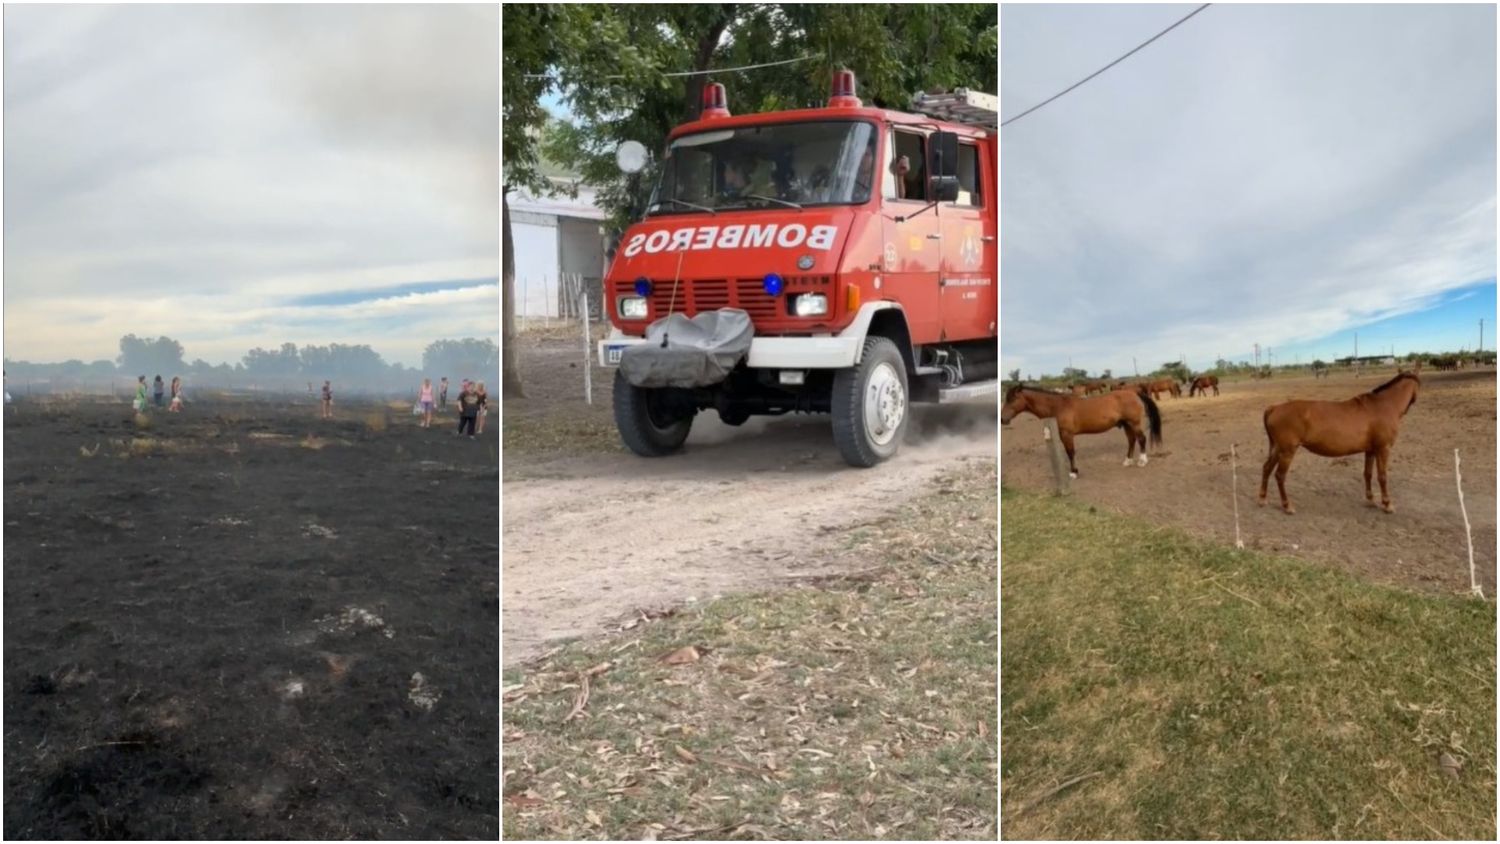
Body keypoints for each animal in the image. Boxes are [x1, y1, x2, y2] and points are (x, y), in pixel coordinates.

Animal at [1002, 386, 1164, 479]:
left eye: (1012, 399)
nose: (1003, 419)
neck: (1058, 406)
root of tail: (1134, 392)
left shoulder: (1067, 435)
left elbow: (1070, 452)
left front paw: (1073, 472)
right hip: (1126, 425)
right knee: (1131, 440)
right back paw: (1127, 461)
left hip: (1133, 423)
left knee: (1141, 439)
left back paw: (1142, 461)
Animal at [1260, 374, 1422, 515]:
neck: (1383, 406)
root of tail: (1274, 408)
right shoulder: (1383, 449)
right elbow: (1382, 477)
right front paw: (1387, 504)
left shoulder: (1370, 450)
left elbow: (1367, 474)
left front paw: (1370, 500)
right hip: (1287, 451)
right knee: (1280, 475)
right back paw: (1287, 506)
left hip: (1278, 449)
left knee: (1267, 468)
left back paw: (1262, 498)